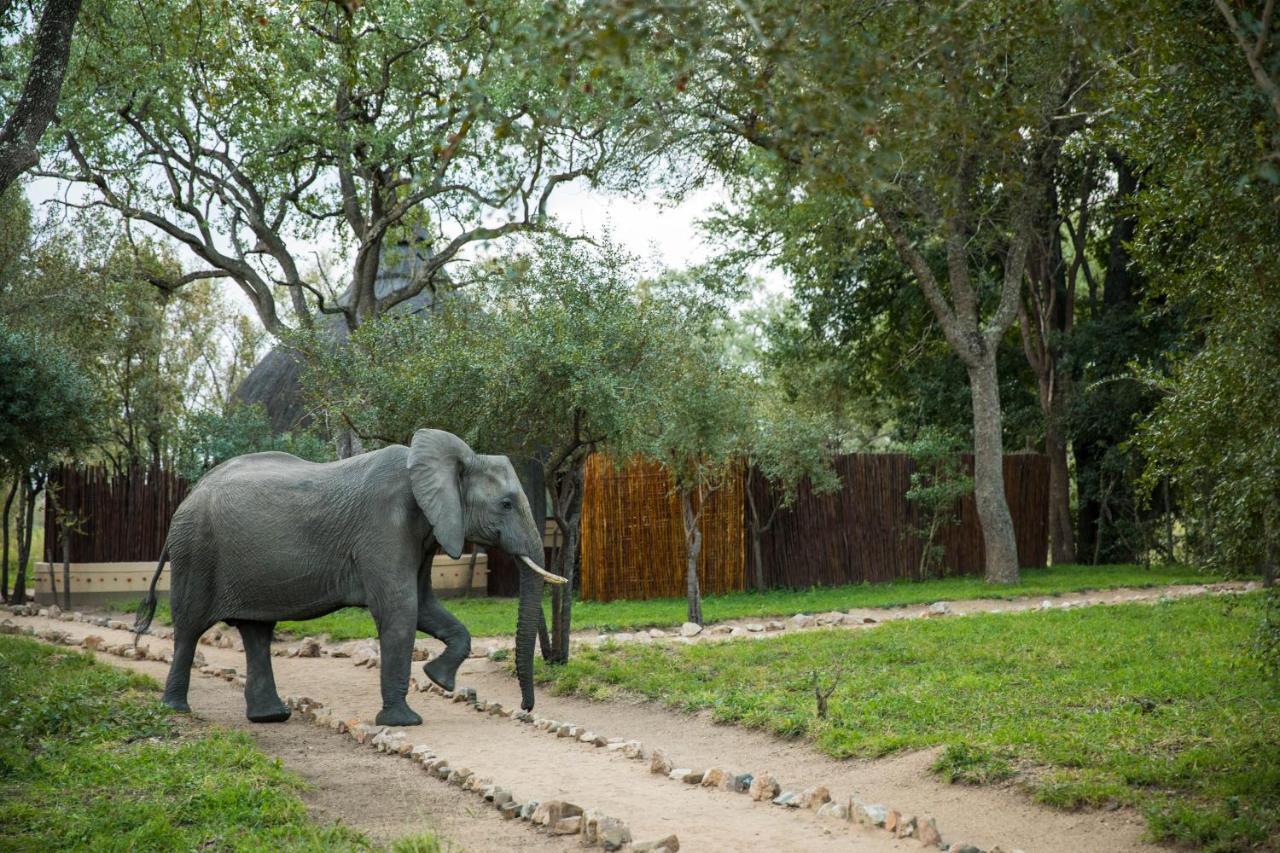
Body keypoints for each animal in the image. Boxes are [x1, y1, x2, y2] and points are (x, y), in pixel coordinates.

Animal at [133, 427, 565, 722]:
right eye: (506, 504)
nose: (526, 708)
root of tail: (188, 495)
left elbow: (426, 606)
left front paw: (439, 679)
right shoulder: (385, 526)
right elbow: (401, 609)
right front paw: (405, 721)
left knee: (257, 632)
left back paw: (271, 717)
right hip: (197, 552)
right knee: (189, 628)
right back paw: (177, 710)